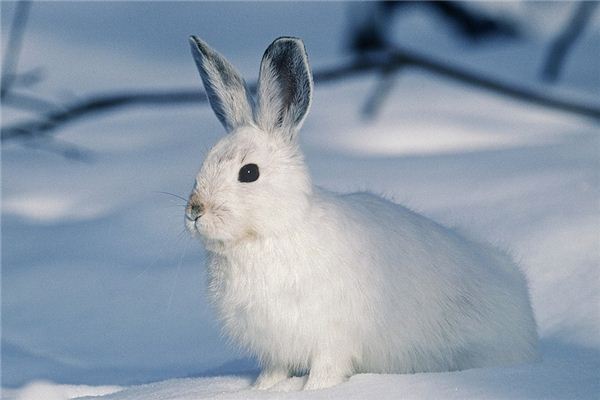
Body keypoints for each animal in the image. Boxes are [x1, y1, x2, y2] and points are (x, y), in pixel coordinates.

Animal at [184, 36, 540, 390]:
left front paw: (313, 391)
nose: (195, 211)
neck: (273, 231)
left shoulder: (331, 339)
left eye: (249, 173)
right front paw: (260, 390)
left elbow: (326, 371)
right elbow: (273, 372)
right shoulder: (275, 349)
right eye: (202, 166)